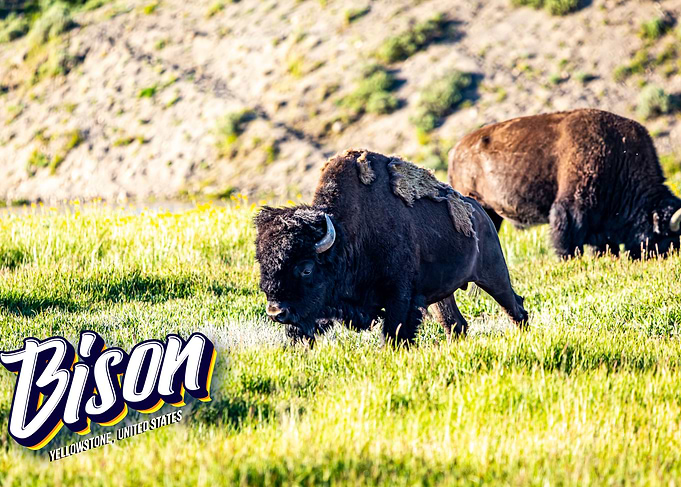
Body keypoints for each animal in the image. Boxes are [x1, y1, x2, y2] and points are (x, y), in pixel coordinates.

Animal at [255, 149, 528, 346]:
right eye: (263, 265)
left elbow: (395, 333)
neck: (346, 235)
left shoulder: (399, 295)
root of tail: (480, 214)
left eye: (306, 268)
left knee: (515, 307)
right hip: (442, 294)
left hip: (493, 274)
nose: (276, 312)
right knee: (455, 324)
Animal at [448, 109, 681, 259]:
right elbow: (567, 238)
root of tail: (456, 150)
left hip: (491, 212)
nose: (669, 255)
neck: (618, 157)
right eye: (669, 236)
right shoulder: (571, 207)